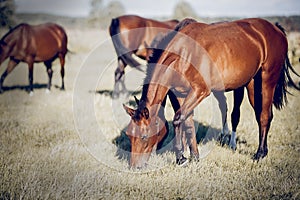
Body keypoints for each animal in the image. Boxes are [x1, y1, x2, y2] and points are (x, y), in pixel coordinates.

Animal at [122, 18, 300, 169]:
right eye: (130, 136)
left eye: (144, 137)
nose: (134, 167)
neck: (183, 55)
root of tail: (276, 29)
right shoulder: (181, 94)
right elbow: (187, 123)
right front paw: (194, 157)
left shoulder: (200, 91)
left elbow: (178, 119)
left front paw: (181, 158)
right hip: (252, 85)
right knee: (259, 114)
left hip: (267, 80)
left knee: (264, 116)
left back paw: (259, 154)